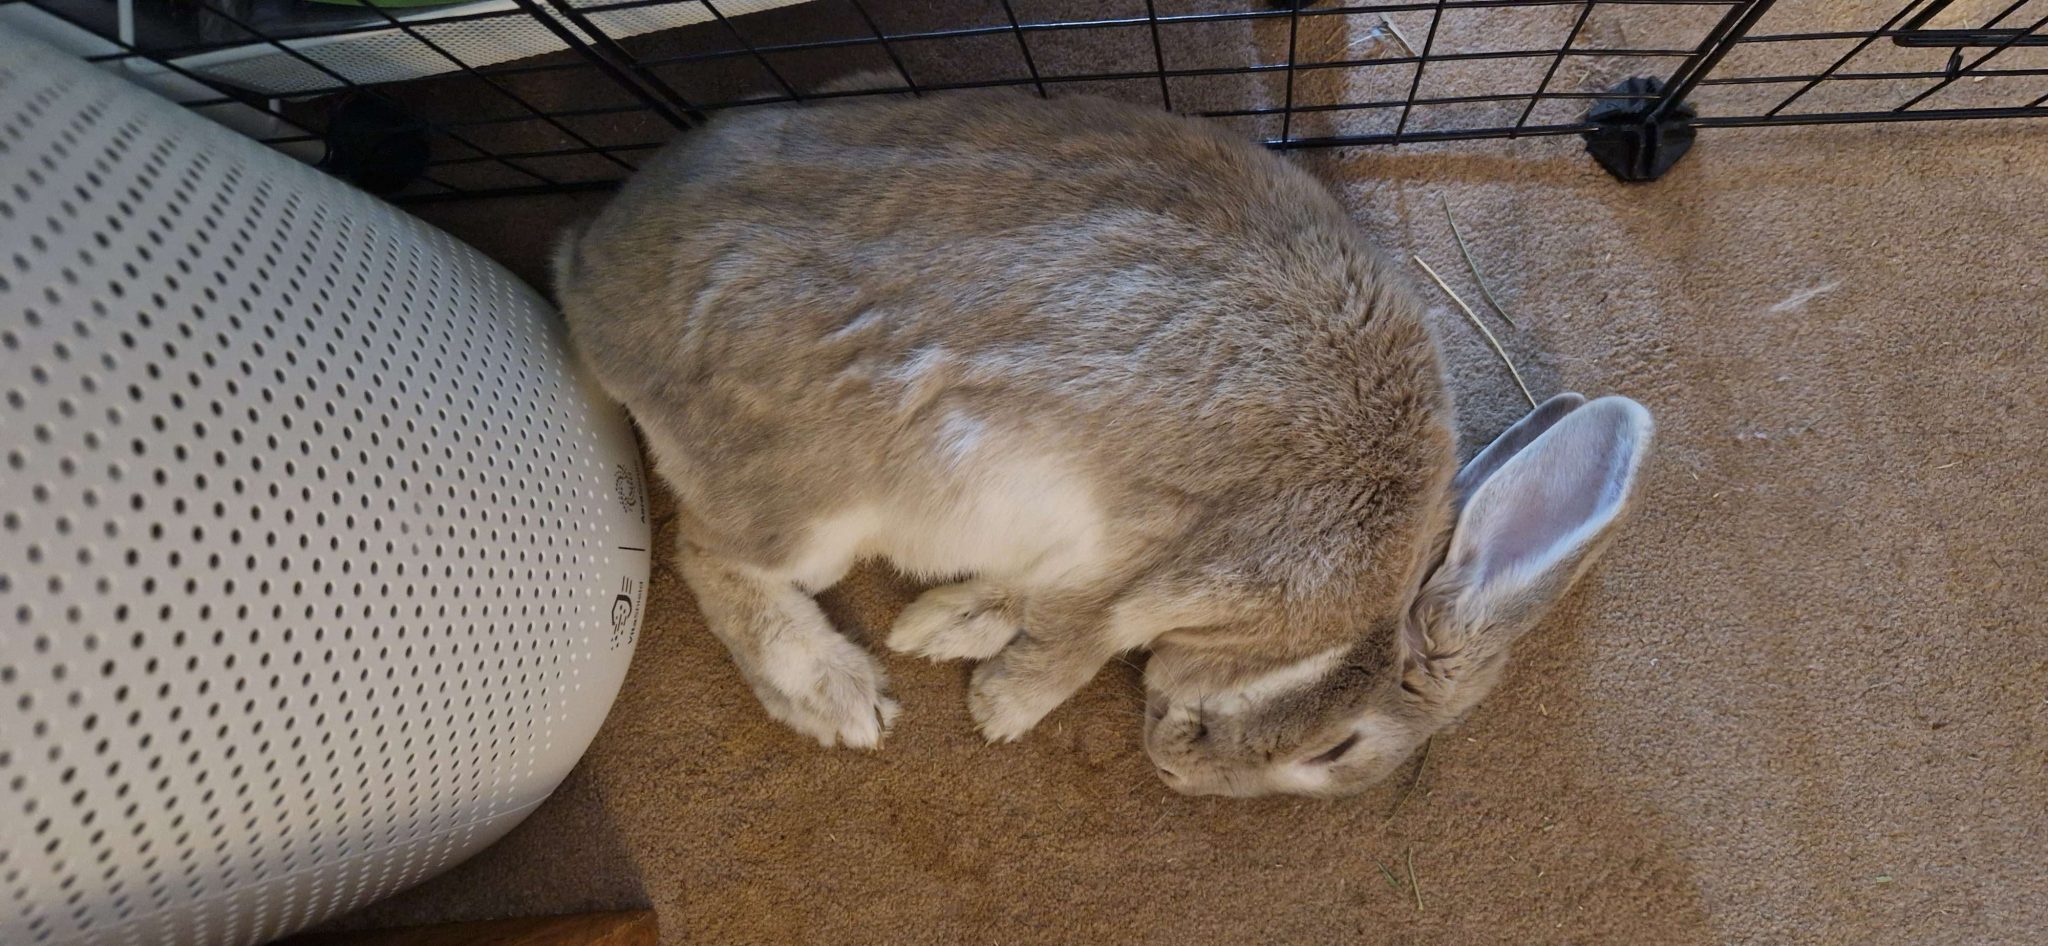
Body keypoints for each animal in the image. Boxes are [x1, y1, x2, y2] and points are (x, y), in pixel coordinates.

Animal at [551, 87, 1654, 797]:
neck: (1352, 618)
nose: (1174, 772)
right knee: (707, 553)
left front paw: (940, 629)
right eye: (1338, 751)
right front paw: (1000, 704)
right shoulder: (1173, 562)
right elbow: (1077, 637)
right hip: (809, 499)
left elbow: (1025, 600)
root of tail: (583, 267)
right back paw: (836, 695)